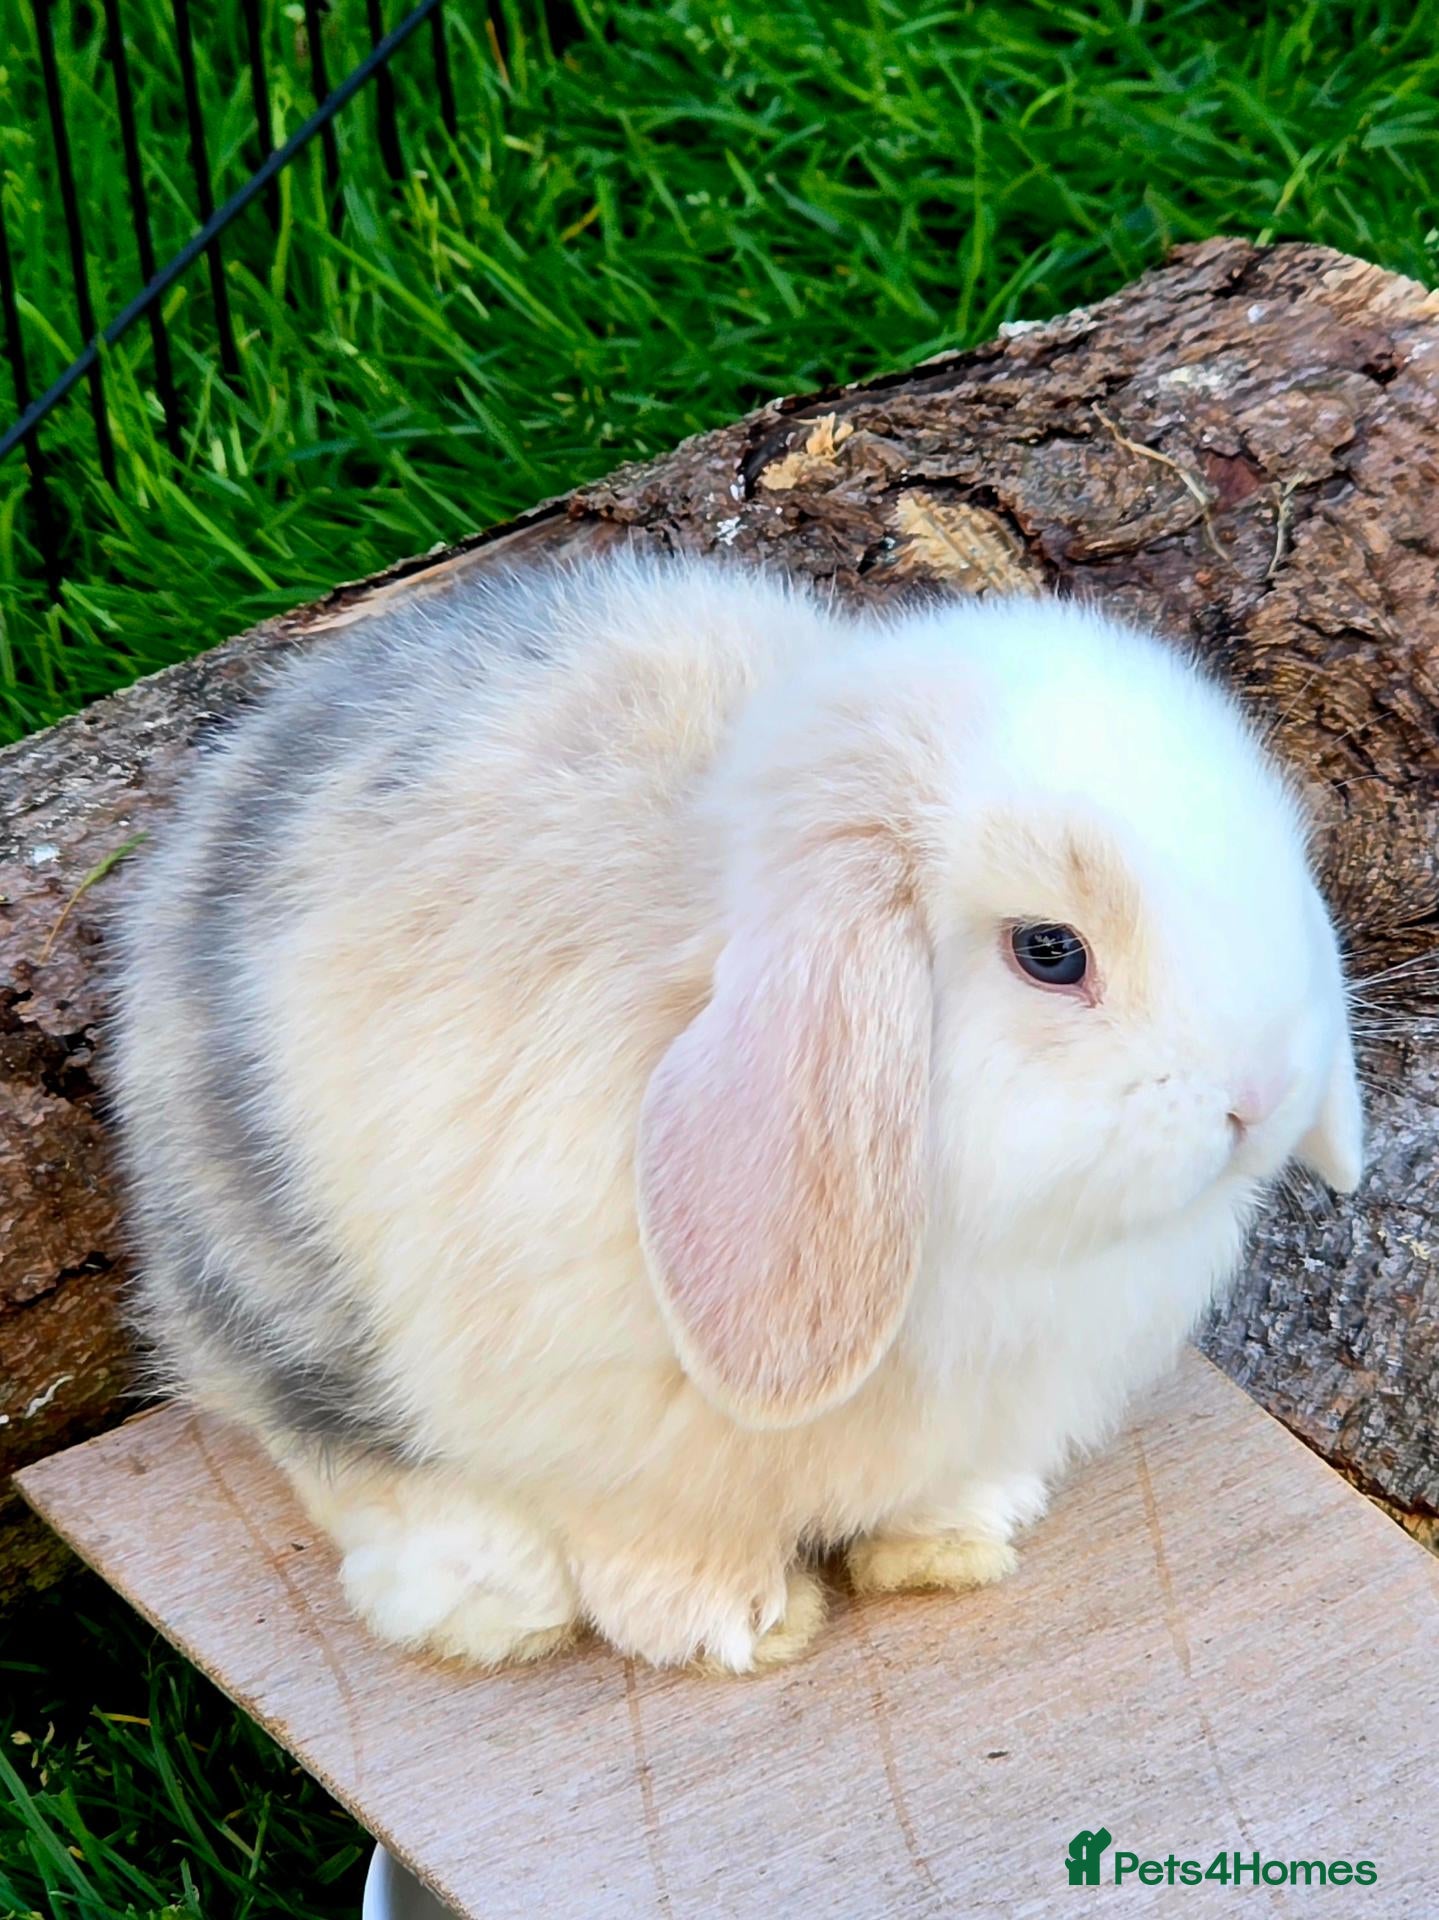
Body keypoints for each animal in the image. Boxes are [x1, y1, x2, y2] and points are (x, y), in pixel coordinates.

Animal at [112, 552, 1363, 1673]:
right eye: (1048, 952)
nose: (1261, 1095)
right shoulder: (589, 1426)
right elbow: (646, 1540)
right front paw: (732, 1624)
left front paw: (951, 1543)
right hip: (267, 1266)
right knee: (319, 1435)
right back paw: (488, 1600)